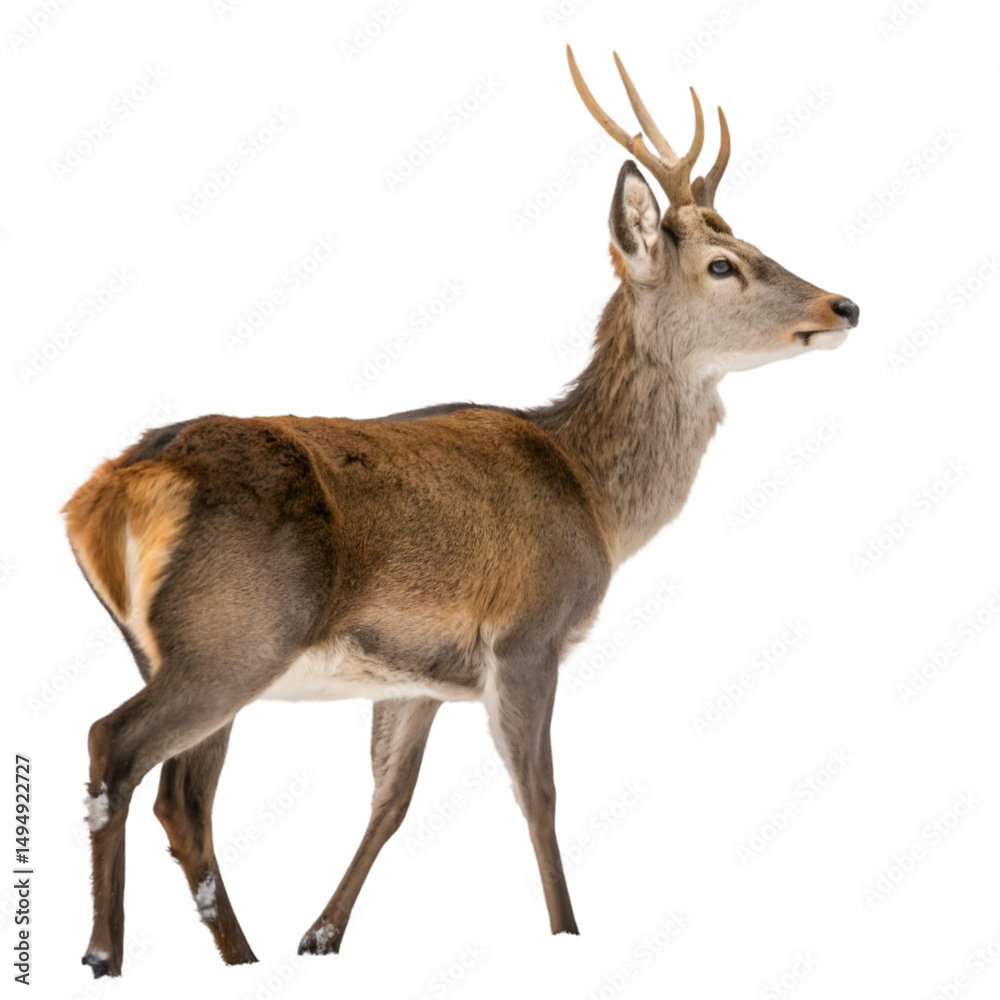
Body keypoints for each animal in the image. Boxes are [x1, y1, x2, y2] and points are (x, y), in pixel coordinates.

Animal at [64, 46, 859, 978]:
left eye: (755, 244)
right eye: (723, 265)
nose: (844, 305)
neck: (592, 496)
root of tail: (106, 488)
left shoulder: (420, 677)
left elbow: (390, 800)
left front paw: (321, 936)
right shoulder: (527, 634)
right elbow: (539, 795)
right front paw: (567, 934)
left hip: (168, 645)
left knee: (182, 798)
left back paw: (242, 956)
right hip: (233, 632)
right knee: (116, 747)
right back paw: (104, 954)